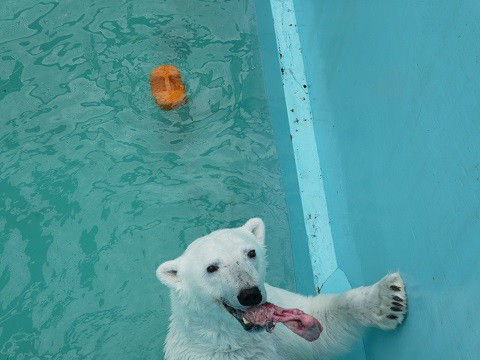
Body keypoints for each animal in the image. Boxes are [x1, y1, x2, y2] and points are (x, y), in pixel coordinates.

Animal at [156, 218, 406, 358]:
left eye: (251, 252)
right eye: (211, 268)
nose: (250, 294)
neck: (236, 340)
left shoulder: (280, 338)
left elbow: (324, 328)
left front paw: (388, 299)